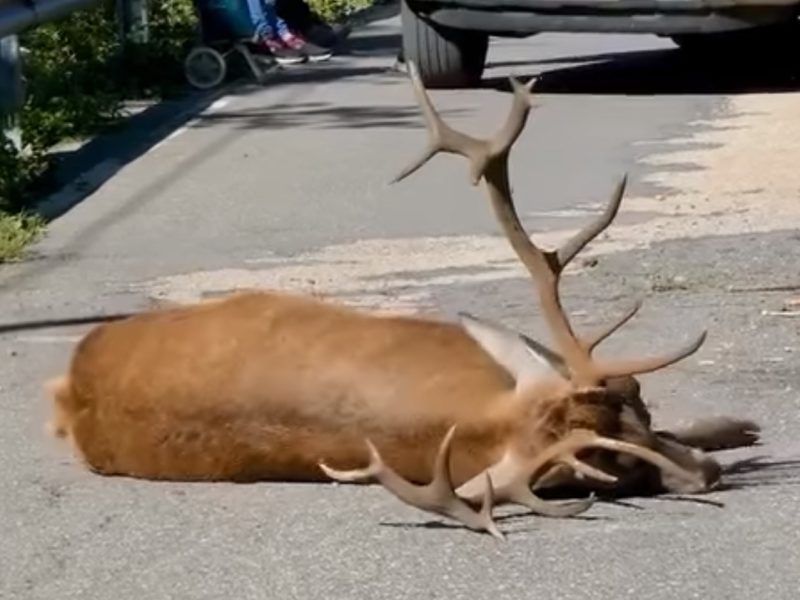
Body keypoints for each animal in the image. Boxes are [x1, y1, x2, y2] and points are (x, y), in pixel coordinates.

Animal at [47, 62, 760, 540]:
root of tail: (71, 378)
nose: (707, 475)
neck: (475, 413)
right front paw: (733, 430)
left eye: (634, 404)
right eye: (606, 470)